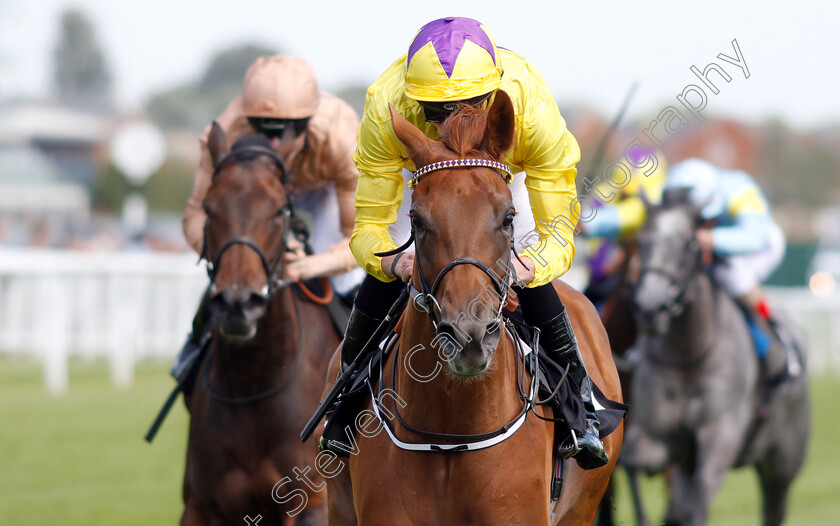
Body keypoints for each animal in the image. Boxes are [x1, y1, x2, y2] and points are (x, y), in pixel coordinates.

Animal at [182, 122, 340, 524]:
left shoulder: (313, 503)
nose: (238, 303)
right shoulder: (200, 506)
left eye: (279, 209)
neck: (254, 382)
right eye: (209, 208)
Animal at [620, 194, 812, 526]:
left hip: (782, 466)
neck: (688, 356)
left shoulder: (720, 439)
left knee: (773, 506)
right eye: (641, 241)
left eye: (690, 244)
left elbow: (697, 507)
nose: (650, 307)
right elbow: (629, 463)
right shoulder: (657, 438)